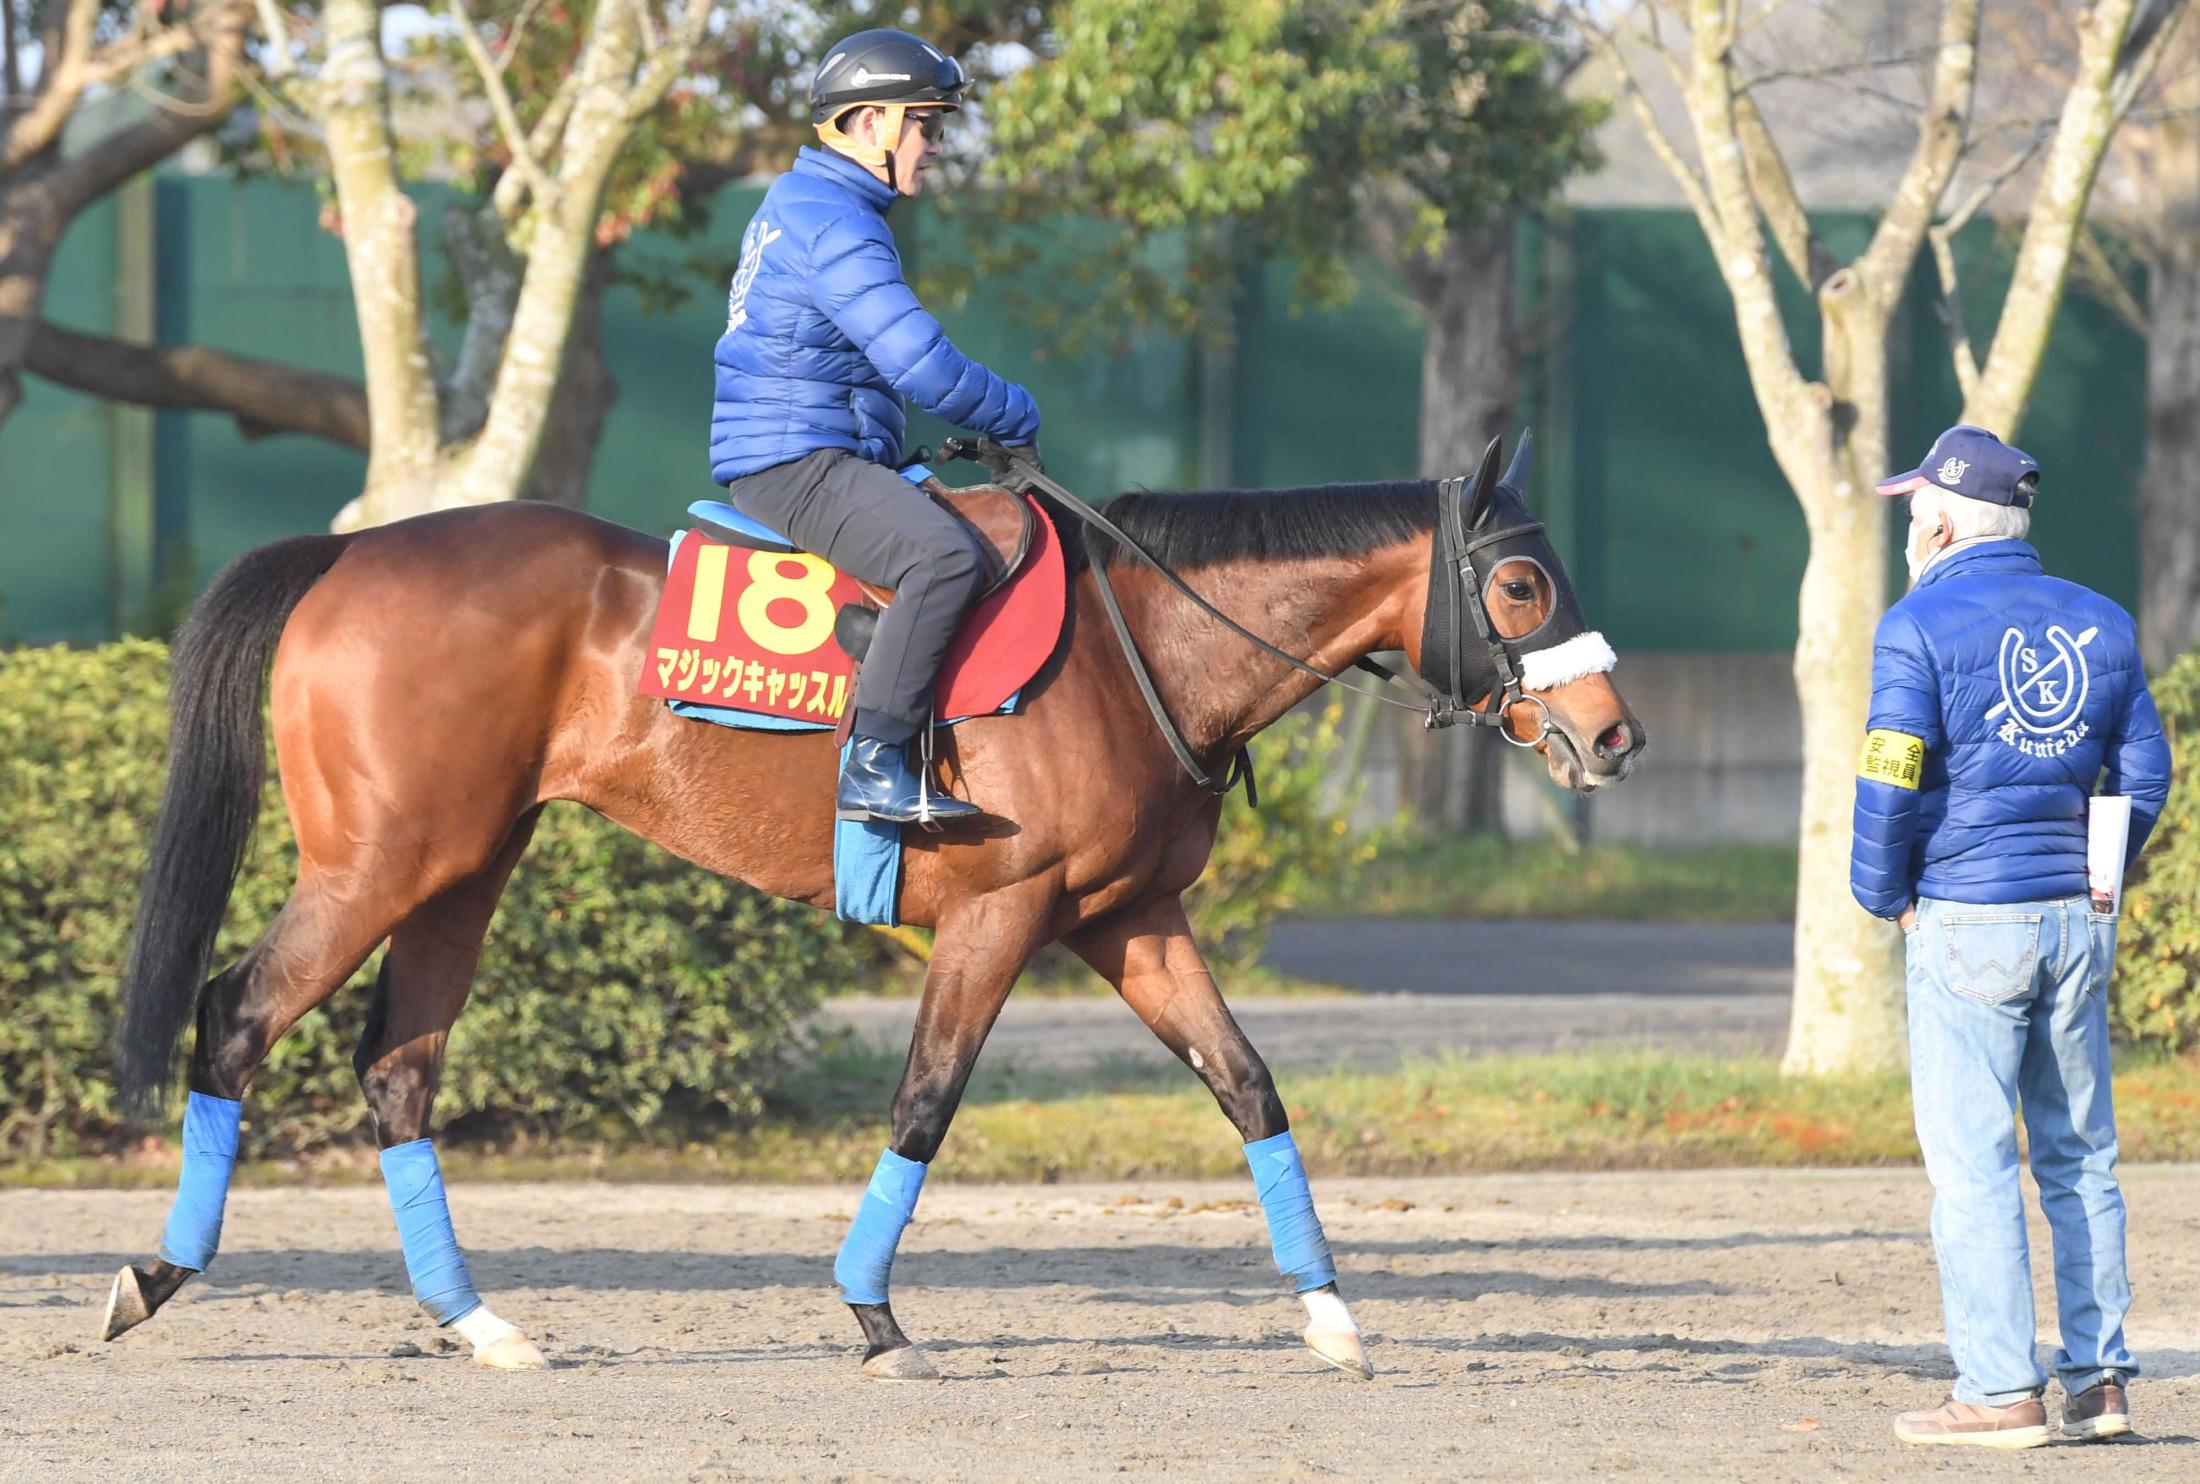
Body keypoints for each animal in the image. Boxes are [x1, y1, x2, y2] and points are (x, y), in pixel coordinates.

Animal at [111, 437, 1645, 1380]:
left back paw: (479, 1322)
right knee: (236, 1014)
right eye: (1521, 579)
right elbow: (925, 1101)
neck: (1138, 643)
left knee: (397, 1068)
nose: (1616, 736)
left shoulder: (1129, 922)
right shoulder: (1001, 916)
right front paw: (872, 1310)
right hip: (378, 865)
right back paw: (161, 1271)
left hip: (461, 872)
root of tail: (351, 555)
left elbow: (1249, 1086)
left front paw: (1330, 1313)